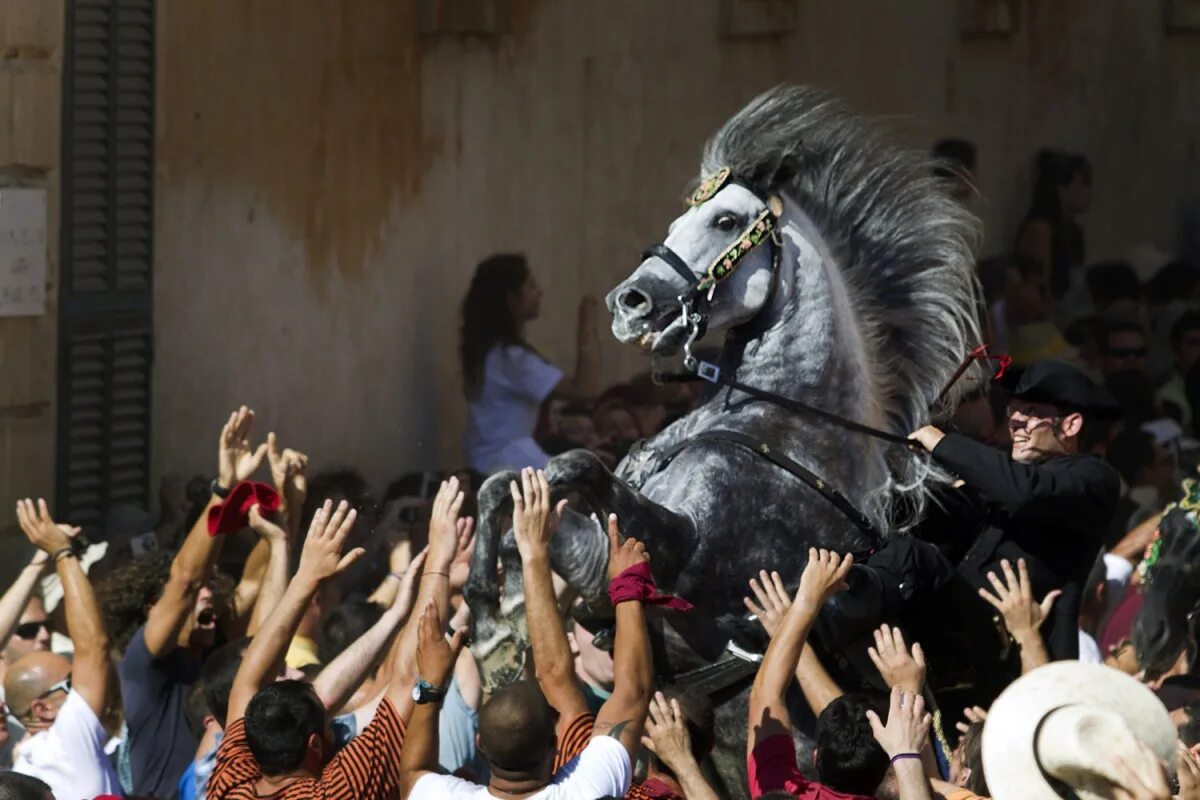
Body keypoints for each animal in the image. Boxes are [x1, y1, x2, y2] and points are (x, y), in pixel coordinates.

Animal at [463, 87, 979, 796]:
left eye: (727, 220)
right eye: (681, 219)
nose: (628, 302)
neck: (778, 419)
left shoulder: (682, 554)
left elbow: (576, 464)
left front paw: (499, 625)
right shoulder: (606, 556)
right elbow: (507, 486)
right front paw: (492, 623)